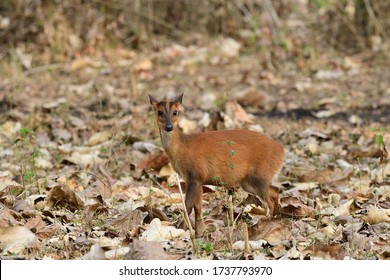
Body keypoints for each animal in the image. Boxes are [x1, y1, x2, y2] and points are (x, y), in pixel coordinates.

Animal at [148, 94, 284, 236]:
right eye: (159, 112)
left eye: (175, 112)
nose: (169, 127)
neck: (182, 147)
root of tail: (281, 150)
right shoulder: (196, 179)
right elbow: (197, 207)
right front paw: (199, 232)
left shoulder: (195, 175)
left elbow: (189, 205)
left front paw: (184, 229)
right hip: (249, 182)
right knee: (275, 192)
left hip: (261, 175)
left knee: (270, 201)